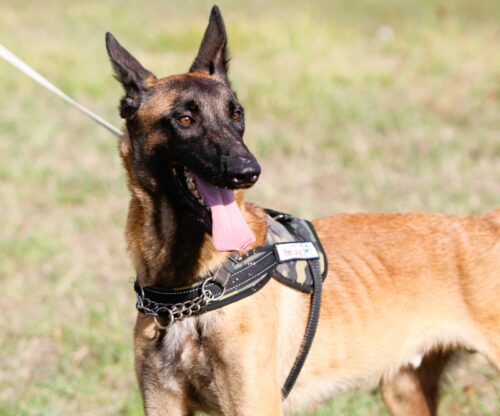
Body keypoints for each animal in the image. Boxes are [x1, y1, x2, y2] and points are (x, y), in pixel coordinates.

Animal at [105, 6, 500, 415]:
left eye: (236, 115)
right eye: (185, 119)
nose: (248, 171)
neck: (190, 291)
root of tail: (486, 223)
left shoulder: (255, 404)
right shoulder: (163, 404)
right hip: (404, 392)